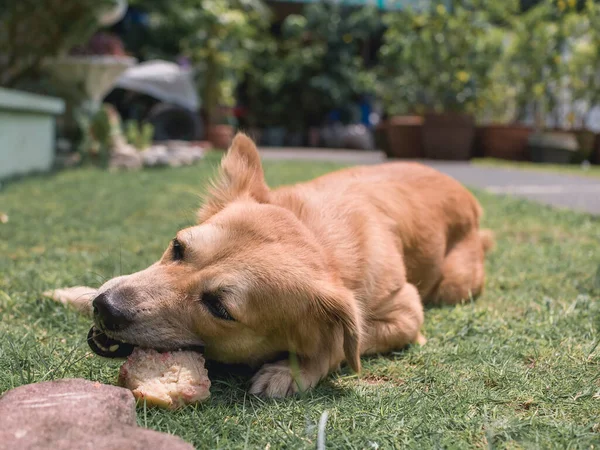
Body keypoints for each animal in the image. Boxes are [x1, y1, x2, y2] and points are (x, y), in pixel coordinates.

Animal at [88, 134, 492, 398]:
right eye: (177, 247)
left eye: (219, 307)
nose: (105, 307)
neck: (318, 238)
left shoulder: (407, 313)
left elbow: (341, 343)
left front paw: (293, 370)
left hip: (455, 286)